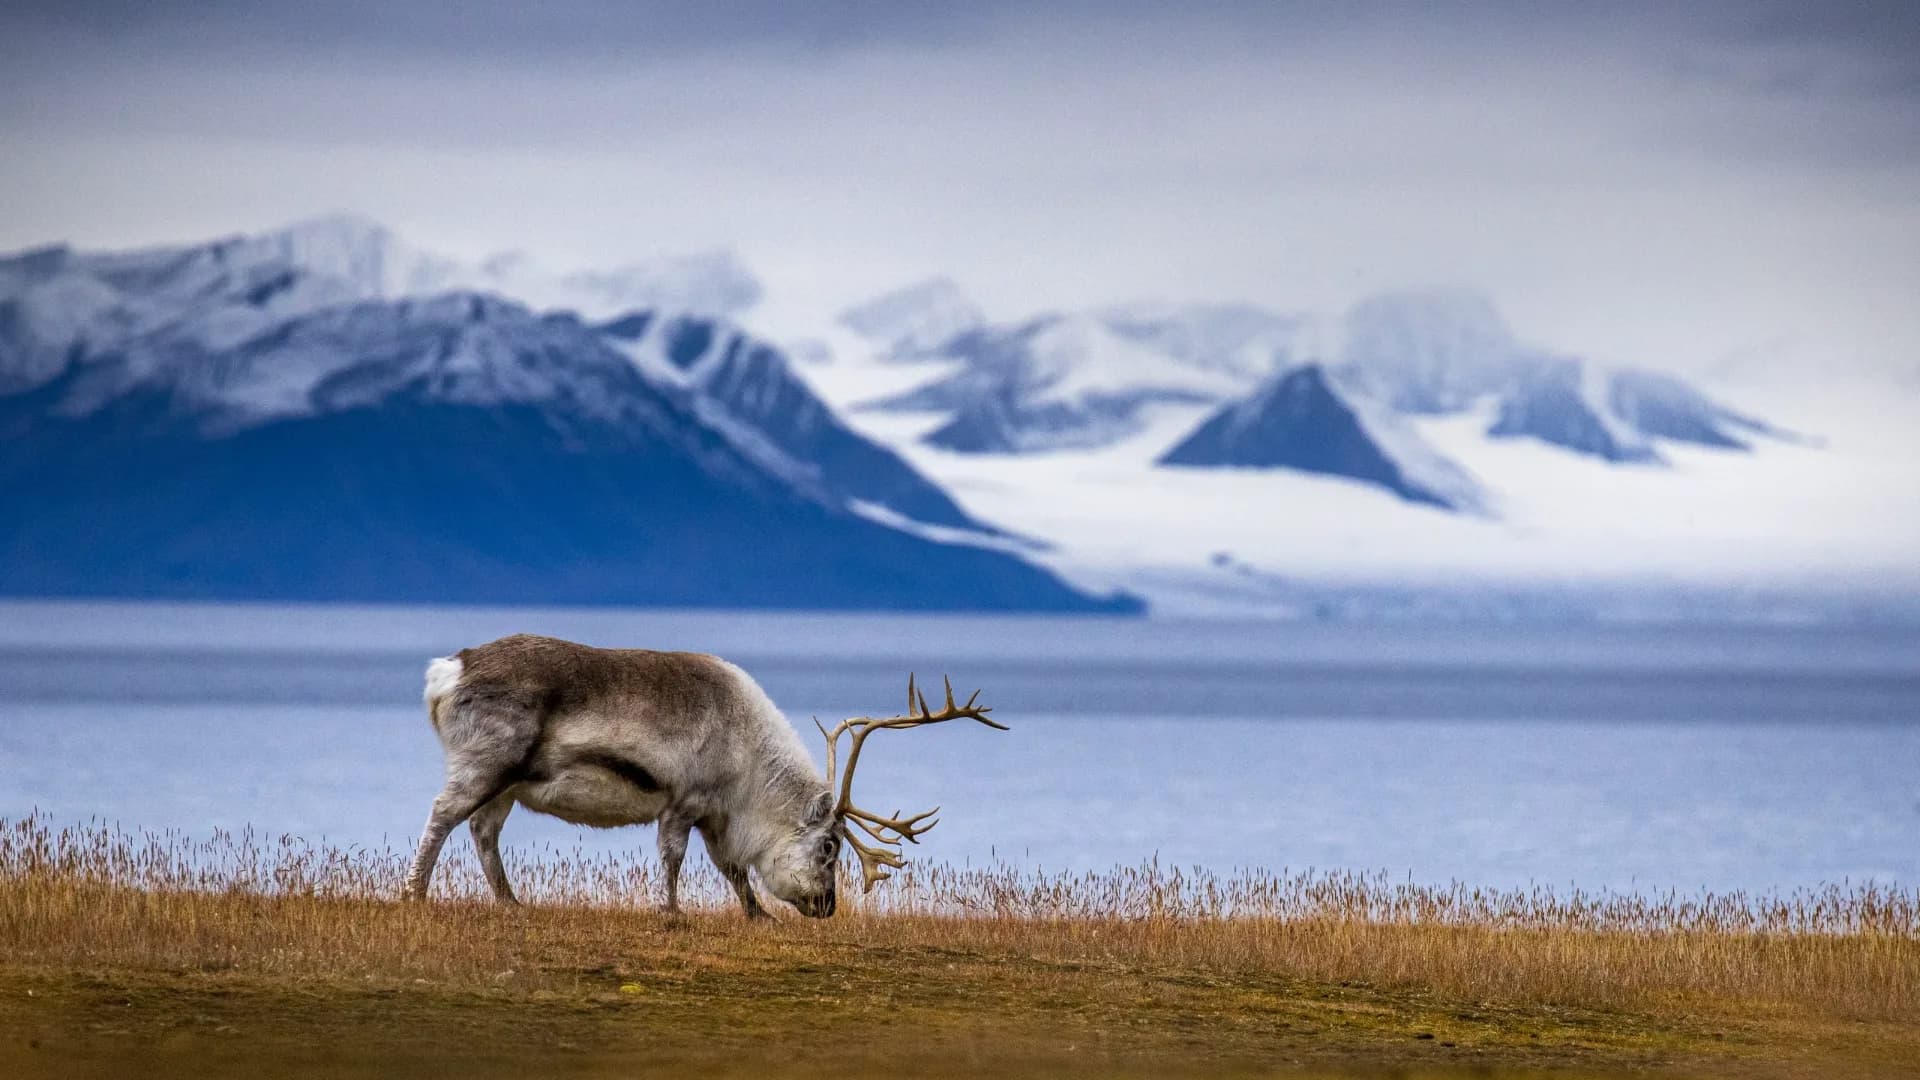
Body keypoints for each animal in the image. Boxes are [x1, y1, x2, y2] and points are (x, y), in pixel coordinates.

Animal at [403, 633, 1001, 917]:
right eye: (830, 846)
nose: (828, 908)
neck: (749, 769)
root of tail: (447, 671)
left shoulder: (716, 817)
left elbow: (732, 869)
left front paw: (759, 916)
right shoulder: (684, 801)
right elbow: (673, 859)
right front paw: (670, 912)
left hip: (509, 782)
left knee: (483, 831)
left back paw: (511, 902)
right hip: (486, 762)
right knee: (442, 815)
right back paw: (415, 895)